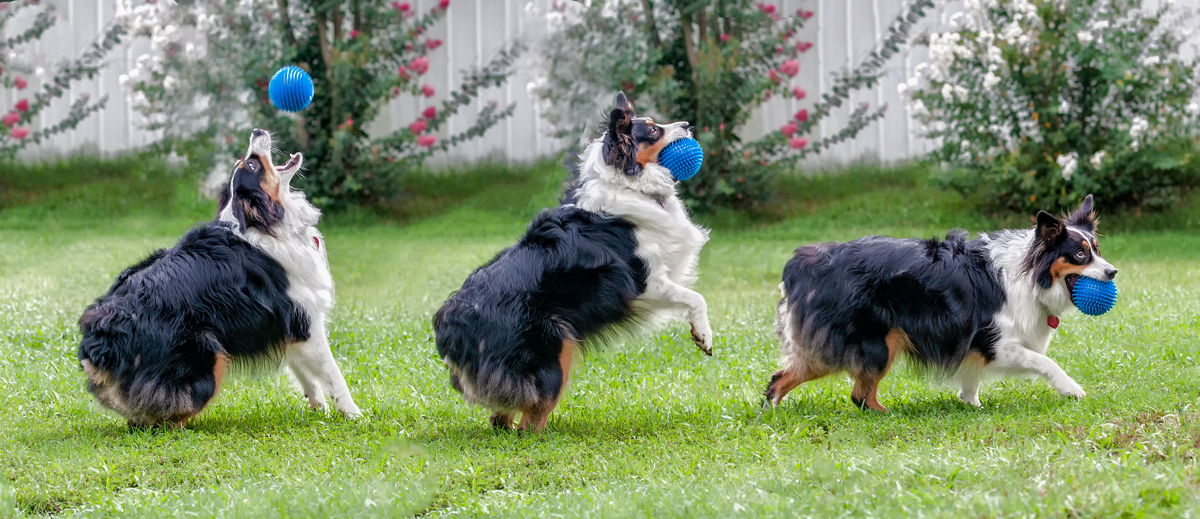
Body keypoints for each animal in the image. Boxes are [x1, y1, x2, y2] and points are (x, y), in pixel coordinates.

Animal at [76, 128, 357, 425]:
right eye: (252, 165)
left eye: (245, 162)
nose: (257, 131)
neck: (266, 222)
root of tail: (97, 336)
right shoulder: (306, 322)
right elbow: (333, 374)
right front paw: (354, 414)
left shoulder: (287, 325)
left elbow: (308, 379)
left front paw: (319, 409)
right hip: (207, 359)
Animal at [434, 92, 705, 430]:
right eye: (654, 131)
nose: (688, 124)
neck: (626, 183)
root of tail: (451, 319)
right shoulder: (645, 283)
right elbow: (695, 297)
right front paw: (704, 335)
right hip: (554, 352)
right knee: (530, 421)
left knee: (500, 417)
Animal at [763, 194, 1118, 408]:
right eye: (1080, 255)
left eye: (1097, 249)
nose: (1113, 271)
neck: (1030, 273)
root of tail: (801, 264)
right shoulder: (996, 341)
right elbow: (1044, 362)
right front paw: (1071, 388)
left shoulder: (974, 343)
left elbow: (971, 377)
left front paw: (972, 404)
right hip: (874, 343)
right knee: (856, 393)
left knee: (796, 380)